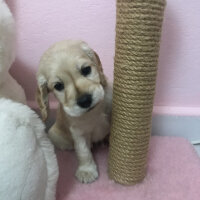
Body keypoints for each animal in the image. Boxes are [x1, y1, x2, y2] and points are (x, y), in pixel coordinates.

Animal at [36, 39, 111, 184]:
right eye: (59, 86)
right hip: (54, 134)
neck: (93, 112)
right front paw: (87, 171)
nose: (85, 100)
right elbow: (83, 151)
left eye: (86, 69)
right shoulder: (78, 133)